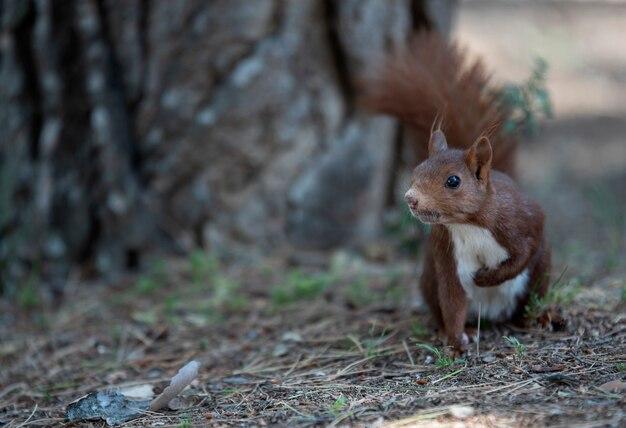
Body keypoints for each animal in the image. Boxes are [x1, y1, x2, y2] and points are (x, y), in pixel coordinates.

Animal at [364, 32, 548, 352]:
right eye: (415, 171)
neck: (468, 224)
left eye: (453, 181)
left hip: (540, 274)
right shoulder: (446, 252)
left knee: (528, 299)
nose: (410, 199)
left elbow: (523, 254)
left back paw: (538, 318)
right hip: (428, 279)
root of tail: (493, 315)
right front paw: (456, 338)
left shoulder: (520, 221)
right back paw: (464, 330)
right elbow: (453, 298)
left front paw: (487, 277)